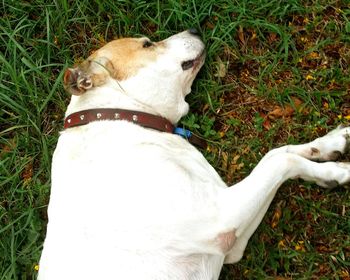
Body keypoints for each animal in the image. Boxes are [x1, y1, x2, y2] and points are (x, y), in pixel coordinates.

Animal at [38, 29, 350, 278]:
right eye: (148, 44)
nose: (195, 29)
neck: (122, 117)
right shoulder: (223, 222)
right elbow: (281, 161)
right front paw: (337, 172)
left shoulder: (232, 242)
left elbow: (276, 153)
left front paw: (331, 145)